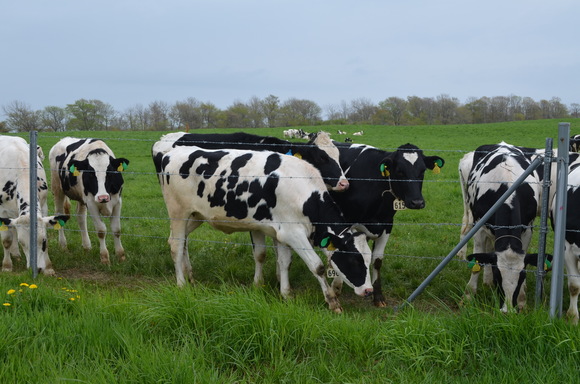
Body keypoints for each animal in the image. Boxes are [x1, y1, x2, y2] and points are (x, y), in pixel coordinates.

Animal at [0, 136, 69, 274]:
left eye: (43, 241)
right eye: (22, 243)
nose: (36, 268)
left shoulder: (43, 206)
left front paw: (48, 267)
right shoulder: (2, 210)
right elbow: (6, 240)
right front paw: (6, 266)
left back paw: (16, 254)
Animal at [48, 136, 130, 266]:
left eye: (110, 172)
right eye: (90, 174)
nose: (103, 197)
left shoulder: (117, 202)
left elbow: (117, 229)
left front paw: (120, 255)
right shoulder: (91, 203)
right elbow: (101, 230)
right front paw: (104, 258)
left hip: (81, 198)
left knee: (81, 217)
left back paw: (87, 246)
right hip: (57, 188)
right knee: (59, 213)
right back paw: (63, 245)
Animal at [152, 142, 374, 314]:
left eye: (368, 258)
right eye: (354, 260)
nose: (369, 291)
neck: (303, 189)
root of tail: (170, 153)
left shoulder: (282, 232)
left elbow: (284, 262)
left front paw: (286, 294)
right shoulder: (294, 234)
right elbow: (317, 266)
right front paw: (332, 301)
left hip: (195, 215)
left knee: (178, 240)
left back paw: (190, 275)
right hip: (178, 212)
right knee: (176, 245)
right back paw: (181, 284)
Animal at [458, 142, 544, 310]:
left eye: (522, 275)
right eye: (498, 276)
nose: (507, 310)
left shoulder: (527, 229)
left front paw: (522, 300)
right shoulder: (480, 227)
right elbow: (477, 261)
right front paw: (469, 295)